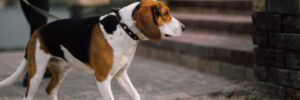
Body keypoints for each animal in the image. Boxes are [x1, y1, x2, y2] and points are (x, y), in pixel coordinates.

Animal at [0, 0, 185, 99]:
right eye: (166, 14)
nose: (184, 27)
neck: (123, 28)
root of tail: (37, 31)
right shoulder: (102, 78)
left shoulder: (120, 75)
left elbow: (136, 94)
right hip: (36, 73)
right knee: (28, 95)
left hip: (61, 70)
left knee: (50, 90)